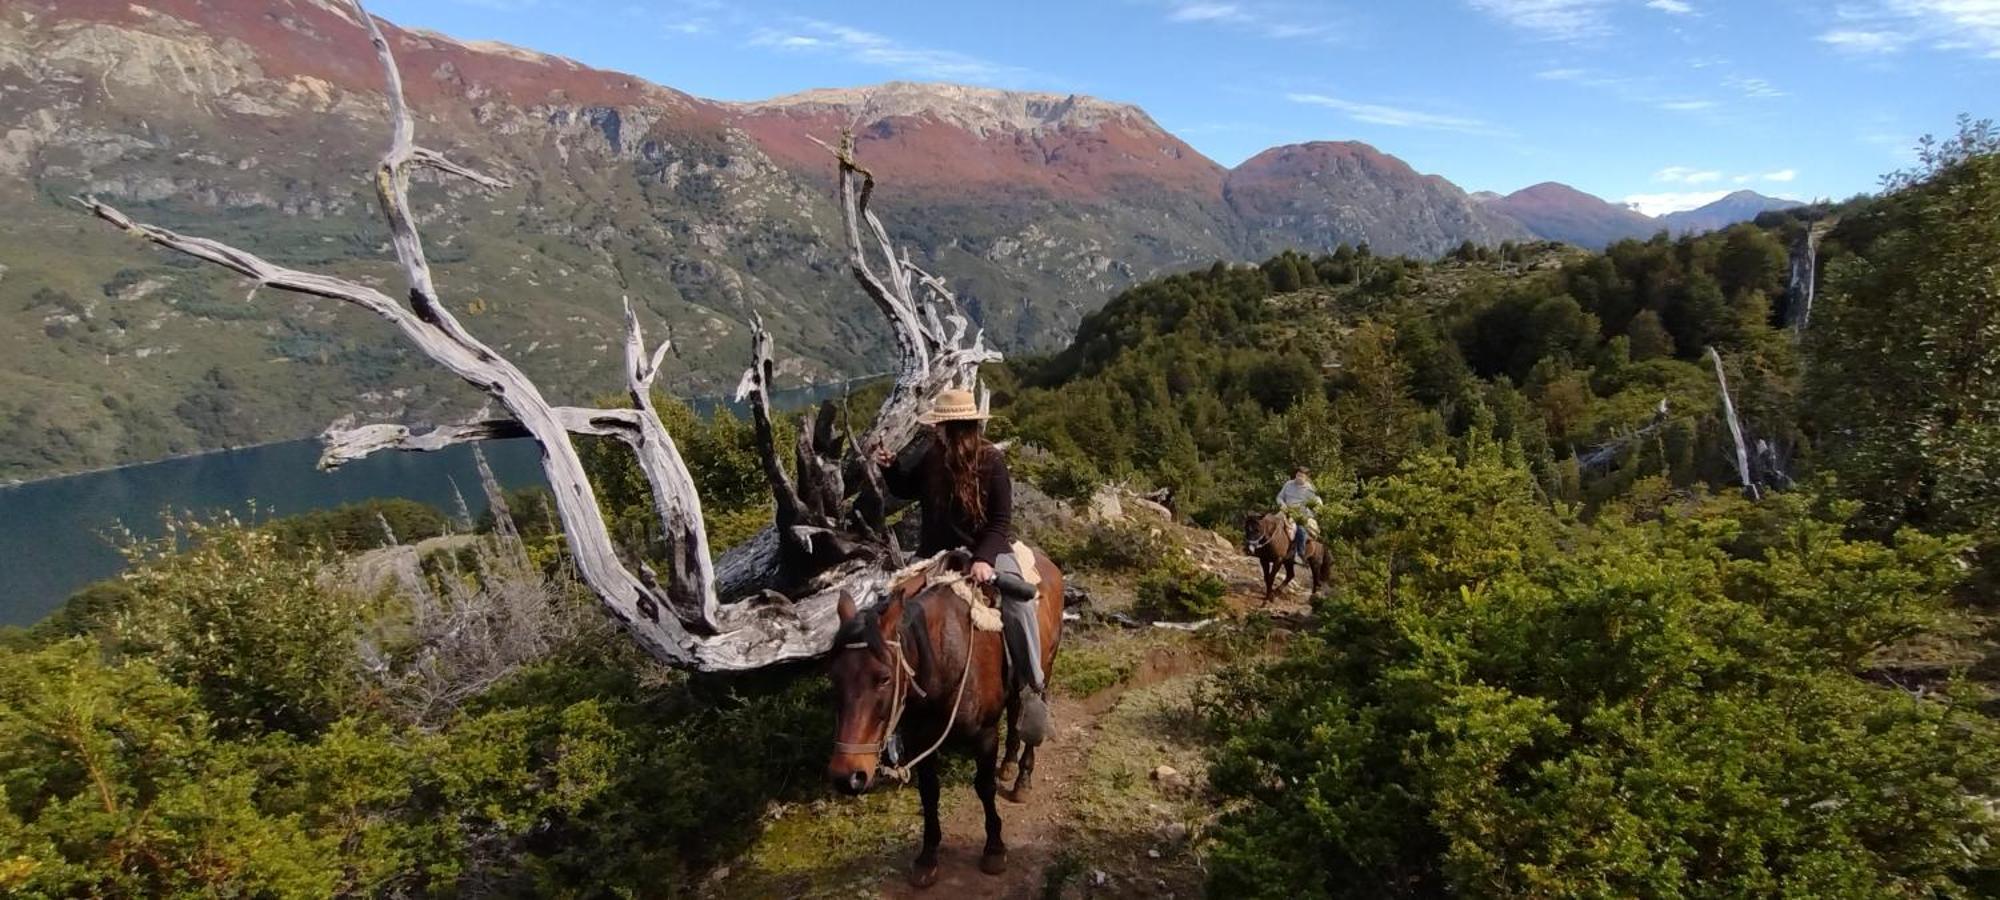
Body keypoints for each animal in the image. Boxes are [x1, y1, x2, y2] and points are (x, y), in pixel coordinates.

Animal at [820, 548, 1064, 884]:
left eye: (884, 678)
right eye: (834, 677)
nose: (847, 776)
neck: (945, 657)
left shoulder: (985, 733)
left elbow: (984, 787)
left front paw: (994, 848)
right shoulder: (920, 739)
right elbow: (929, 793)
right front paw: (928, 855)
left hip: (1045, 669)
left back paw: (1022, 779)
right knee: (1016, 711)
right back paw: (1008, 764)